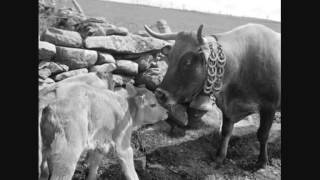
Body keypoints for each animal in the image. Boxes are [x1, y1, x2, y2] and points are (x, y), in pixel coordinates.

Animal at [144, 22, 280, 169]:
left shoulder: (269, 107)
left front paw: (262, 162)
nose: (159, 94)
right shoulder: (227, 108)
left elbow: (263, 134)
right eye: (170, 57)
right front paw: (219, 157)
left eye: (188, 62)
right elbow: (226, 131)